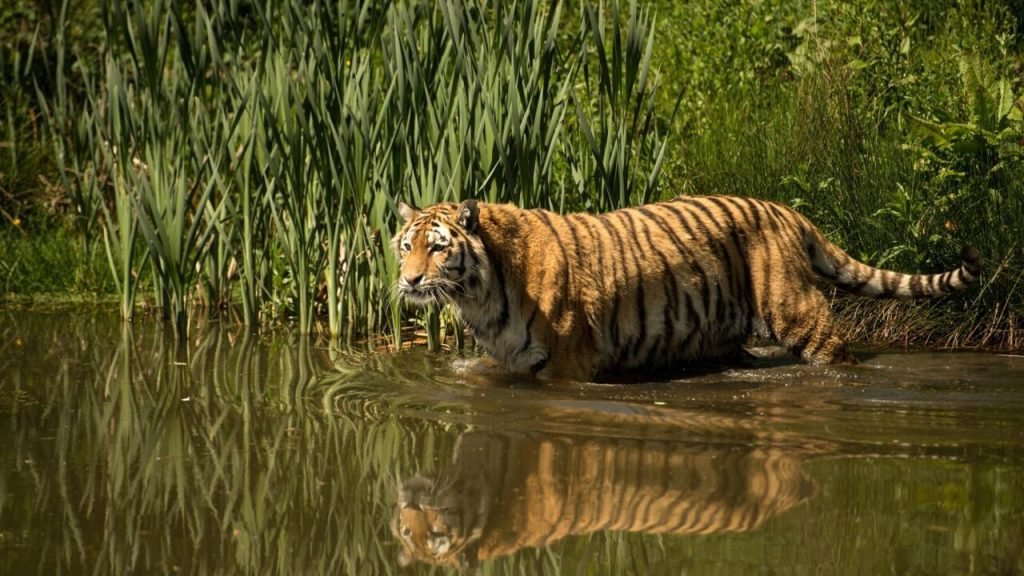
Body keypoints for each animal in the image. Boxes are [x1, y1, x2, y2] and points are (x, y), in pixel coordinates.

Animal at [393, 195, 982, 381]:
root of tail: (785, 210)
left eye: (438, 248)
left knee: (836, 352)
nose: (410, 280)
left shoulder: (567, 364)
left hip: (797, 313)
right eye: (406, 246)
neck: (480, 294)